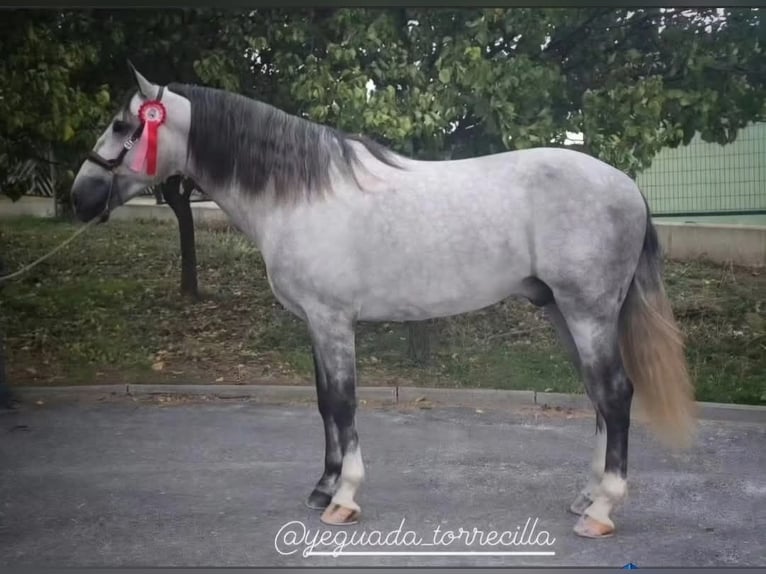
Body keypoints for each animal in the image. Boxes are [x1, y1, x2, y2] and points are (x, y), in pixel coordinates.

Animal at [70, 65, 696, 539]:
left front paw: (344, 497)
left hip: (588, 312)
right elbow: (324, 403)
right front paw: (322, 486)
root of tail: (627, 186)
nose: (80, 196)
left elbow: (344, 404)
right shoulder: (316, 324)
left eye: (123, 125)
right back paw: (586, 495)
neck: (301, 195)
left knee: (615, 394)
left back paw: (602, 509)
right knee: (598, 397)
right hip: (564, 313)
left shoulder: (332, 321)